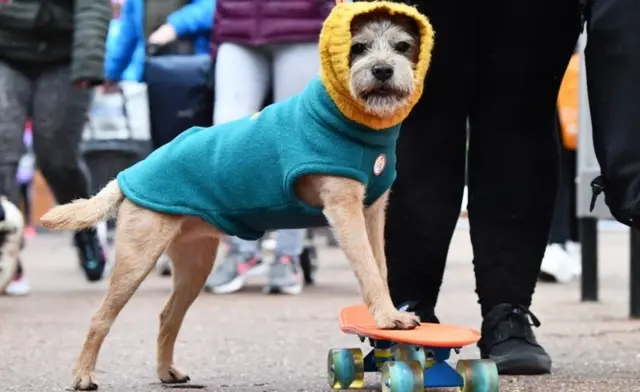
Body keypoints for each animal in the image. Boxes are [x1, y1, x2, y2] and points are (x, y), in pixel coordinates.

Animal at [37, 2, 432, 388]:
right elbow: (368, 267)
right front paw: (387, 317)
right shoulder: (344, 210)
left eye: (402, 46)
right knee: (101, 316)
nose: (382, 70)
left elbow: (380, 265)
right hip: (137, 260)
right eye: (358, 47)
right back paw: (83, 374)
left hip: (195, 263)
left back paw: (167, 371)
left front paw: (387, 317)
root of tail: (129, 175)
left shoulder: (371, 212)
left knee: (168, 315)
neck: (348, 120)